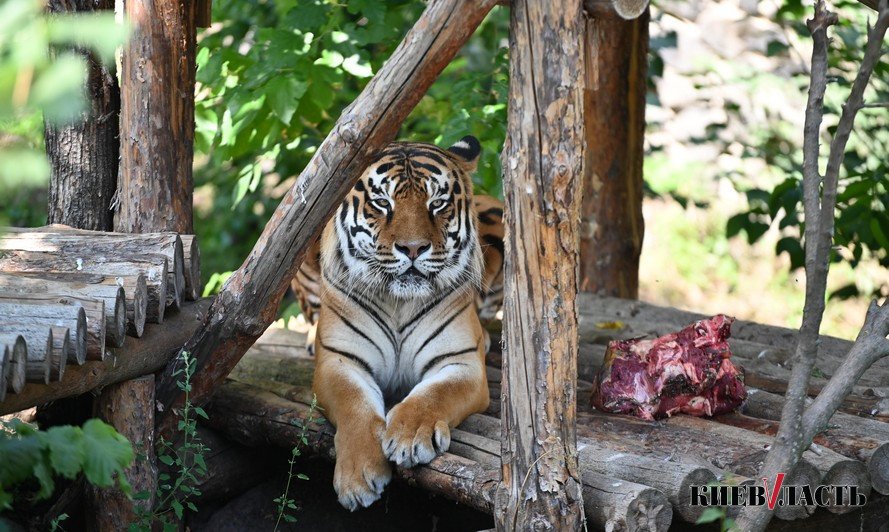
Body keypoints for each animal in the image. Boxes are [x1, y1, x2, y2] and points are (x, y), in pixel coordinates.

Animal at [292, 135, 500, 510]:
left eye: (437, 203)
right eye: (381, 203)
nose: (413, 249)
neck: (398, 302)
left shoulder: (460, 362)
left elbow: (434, 393)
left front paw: (410, 435)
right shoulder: (339, 361)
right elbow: (355, 404)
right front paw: (358, 477)